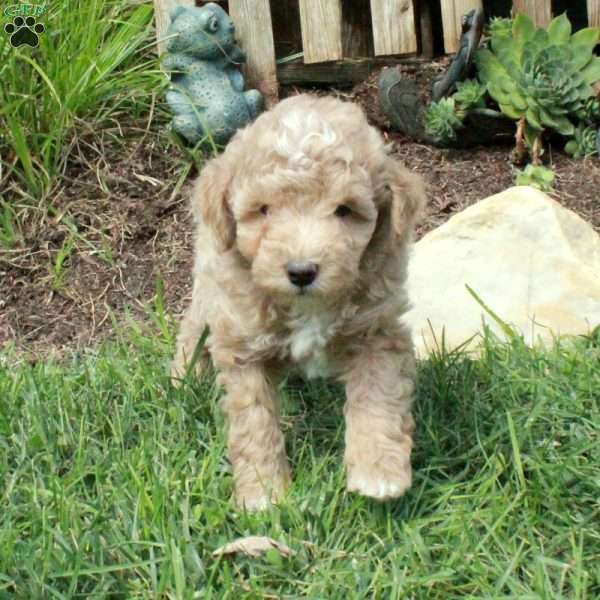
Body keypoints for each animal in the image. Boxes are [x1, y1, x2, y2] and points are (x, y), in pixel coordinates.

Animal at [172, 94, 426, 510]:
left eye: (344, 210)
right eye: (263, 210)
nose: (302, 271)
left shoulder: (378, 330)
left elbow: (379, 398)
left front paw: (378, 473)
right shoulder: (244, 347)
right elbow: (255, 423)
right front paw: (263, 493)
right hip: (209, 277)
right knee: (194, 321)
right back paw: (184, 375)